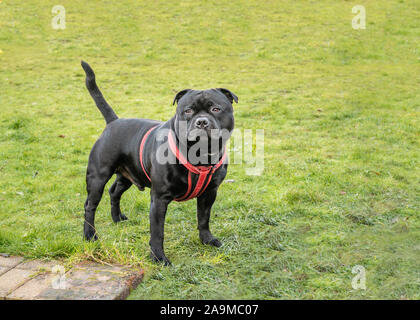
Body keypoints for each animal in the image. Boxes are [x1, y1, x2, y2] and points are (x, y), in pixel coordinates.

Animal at [79, 60, 236, 264]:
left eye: (216, 109)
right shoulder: (159, 199)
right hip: (98, 177)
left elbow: (203, 218)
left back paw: (117, 219)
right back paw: (90, 236)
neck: (200, 154)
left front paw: (207, 240)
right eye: (188, 111)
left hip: (128, 176)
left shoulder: (209, 193)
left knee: (115, 192)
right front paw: (159, 258)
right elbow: (157, 232)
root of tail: (113, 121)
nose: (201, 122)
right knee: (90, 206)